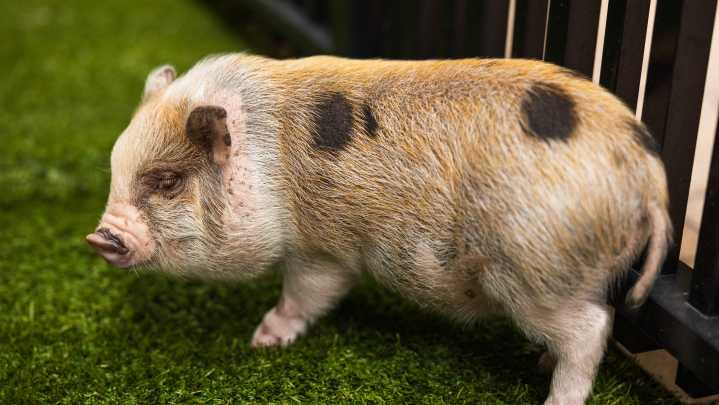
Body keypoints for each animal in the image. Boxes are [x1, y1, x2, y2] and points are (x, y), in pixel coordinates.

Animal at [87, 54, 671, 405]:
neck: (264, 159)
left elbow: (307, 294)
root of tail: (649, 177)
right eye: (115, 170)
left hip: (532, 272)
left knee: (593, 327)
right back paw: (540, 358)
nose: (100, 236)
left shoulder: (321, 246)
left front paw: (261, 343)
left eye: (167, 181)